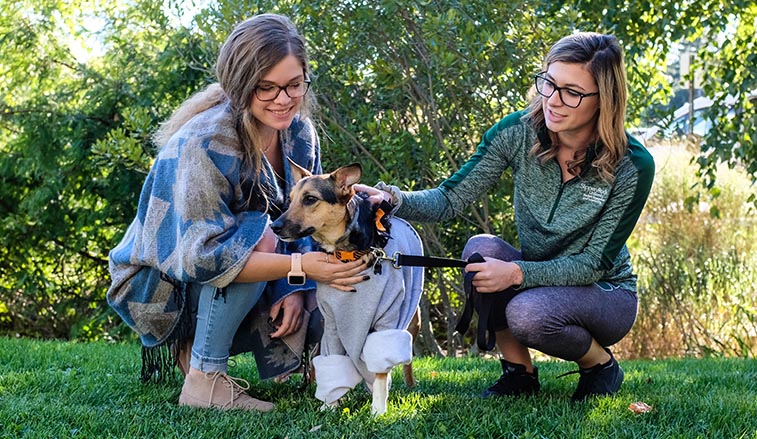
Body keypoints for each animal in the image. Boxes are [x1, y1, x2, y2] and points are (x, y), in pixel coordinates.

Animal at [272, 162, 426, 416]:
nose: (274, 226)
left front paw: (378, 410)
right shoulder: (332, 323)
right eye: (291, 199)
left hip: (410, 320)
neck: (345, 253)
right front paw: (329, 405)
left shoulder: (386, 321)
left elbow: (381, 370)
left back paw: (408, 386)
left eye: (310, 199)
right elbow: (332, 363)